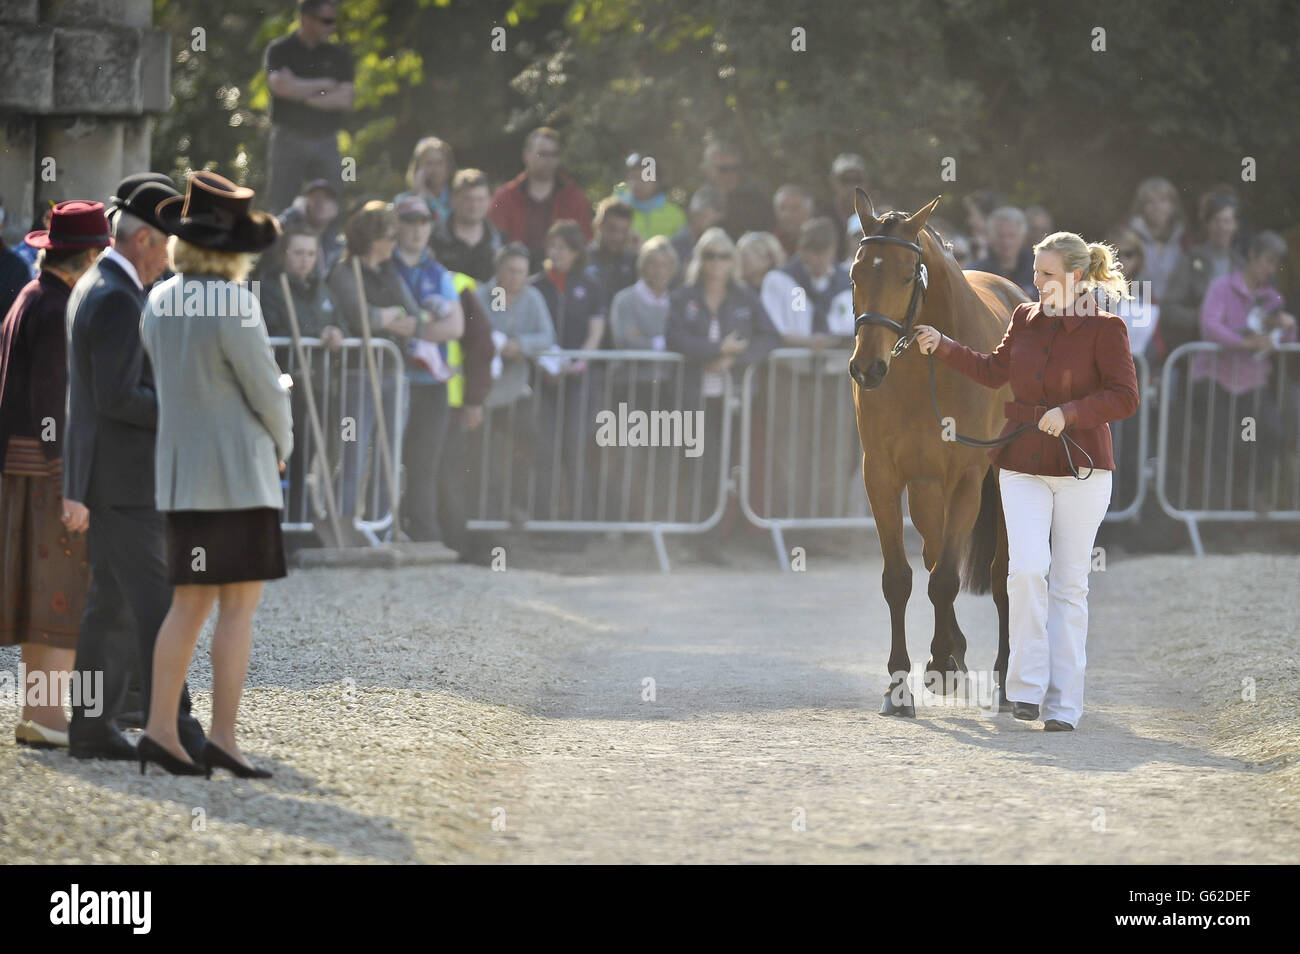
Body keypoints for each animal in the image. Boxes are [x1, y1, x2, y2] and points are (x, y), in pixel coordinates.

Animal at [847, 191, 1029, 717]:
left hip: (999, 481)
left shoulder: (967, 479)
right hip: (927, 490)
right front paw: (900, 685)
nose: (866, 368)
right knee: (931, 556)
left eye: (908, 275)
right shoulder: (883, 477)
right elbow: (901, 579)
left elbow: (947, 579)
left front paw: (944, 662)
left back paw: (1003, 677)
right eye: (855, 273)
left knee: (999, 574)